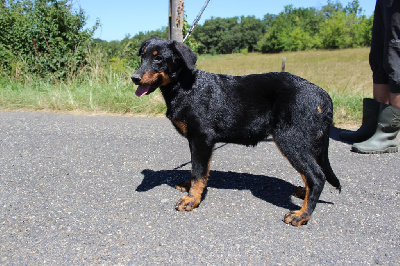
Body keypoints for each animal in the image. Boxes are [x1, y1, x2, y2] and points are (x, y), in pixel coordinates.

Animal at [131, 36, 340, 225]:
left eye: (159, 58)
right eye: (142, 56)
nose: (134, 78)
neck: (185, 86)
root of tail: (322, 94)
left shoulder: (202, 139)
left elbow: (198, 172)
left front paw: (192, 199)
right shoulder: (195, 141)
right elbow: (196, 169)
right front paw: (189, 187)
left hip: (290, 139)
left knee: (317, 176)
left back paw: (302, 215)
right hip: (308, 142)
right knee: (314, 173)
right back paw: (303, 194)